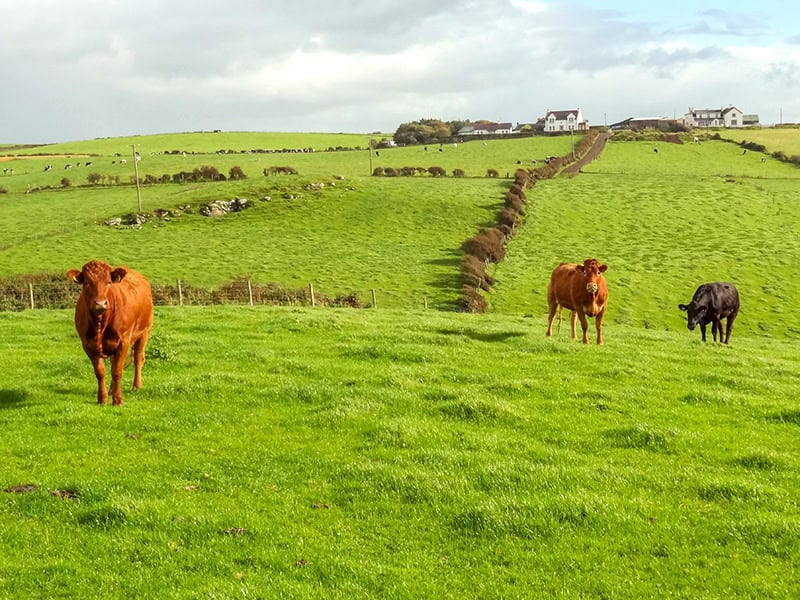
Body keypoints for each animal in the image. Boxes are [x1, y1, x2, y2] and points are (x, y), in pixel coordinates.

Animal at [67, 260, 153, 406]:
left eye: (108, 282)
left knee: (138, 358)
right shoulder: (88, 344)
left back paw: (136, 386)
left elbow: (117, 371)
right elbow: (100, 372)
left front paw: (118, 400)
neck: (100, 323)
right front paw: (102, 398)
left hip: (144, 332)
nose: (100, 303)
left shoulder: (123, 341)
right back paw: (111, 391)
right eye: (86, 283)